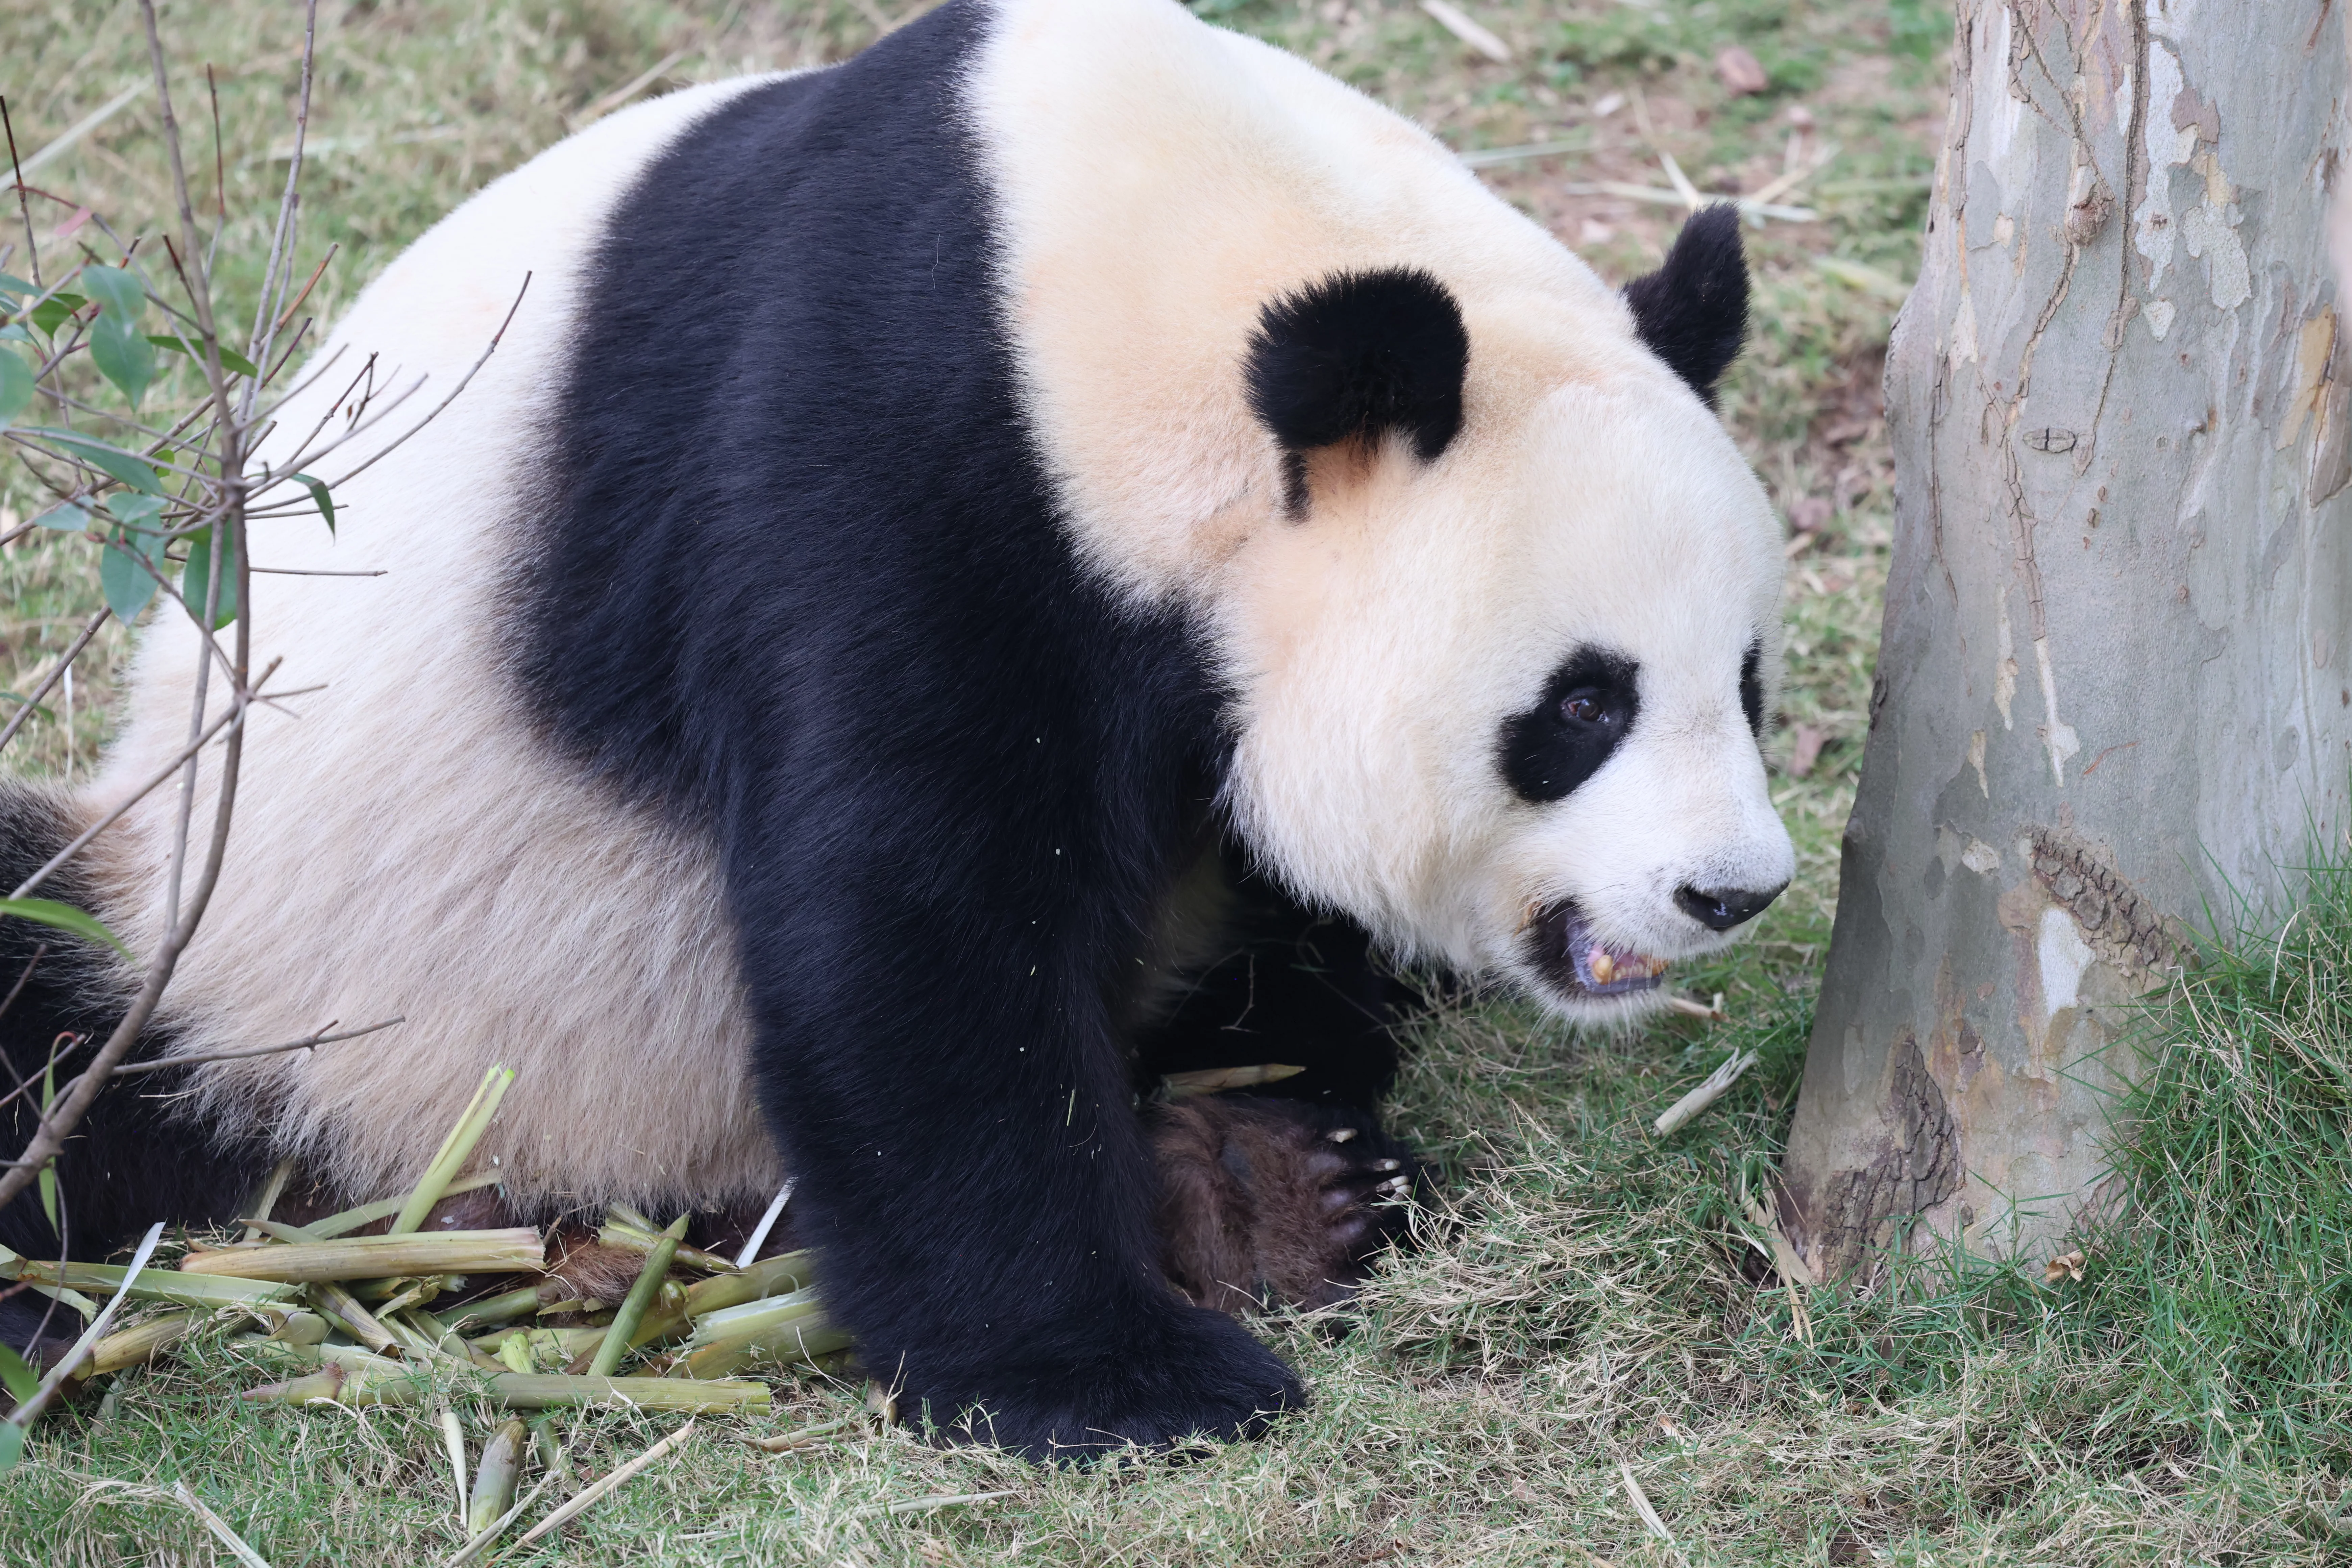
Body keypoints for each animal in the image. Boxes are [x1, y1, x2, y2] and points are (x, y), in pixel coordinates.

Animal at [0, 0, 1793, 1456]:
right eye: (1582, 704)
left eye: (1750, 679)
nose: (1731, 889)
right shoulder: (881, 454)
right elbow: (912, 922)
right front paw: (1117, 1379)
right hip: (269, 959)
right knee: (57, 1033)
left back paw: (1260, 1187)